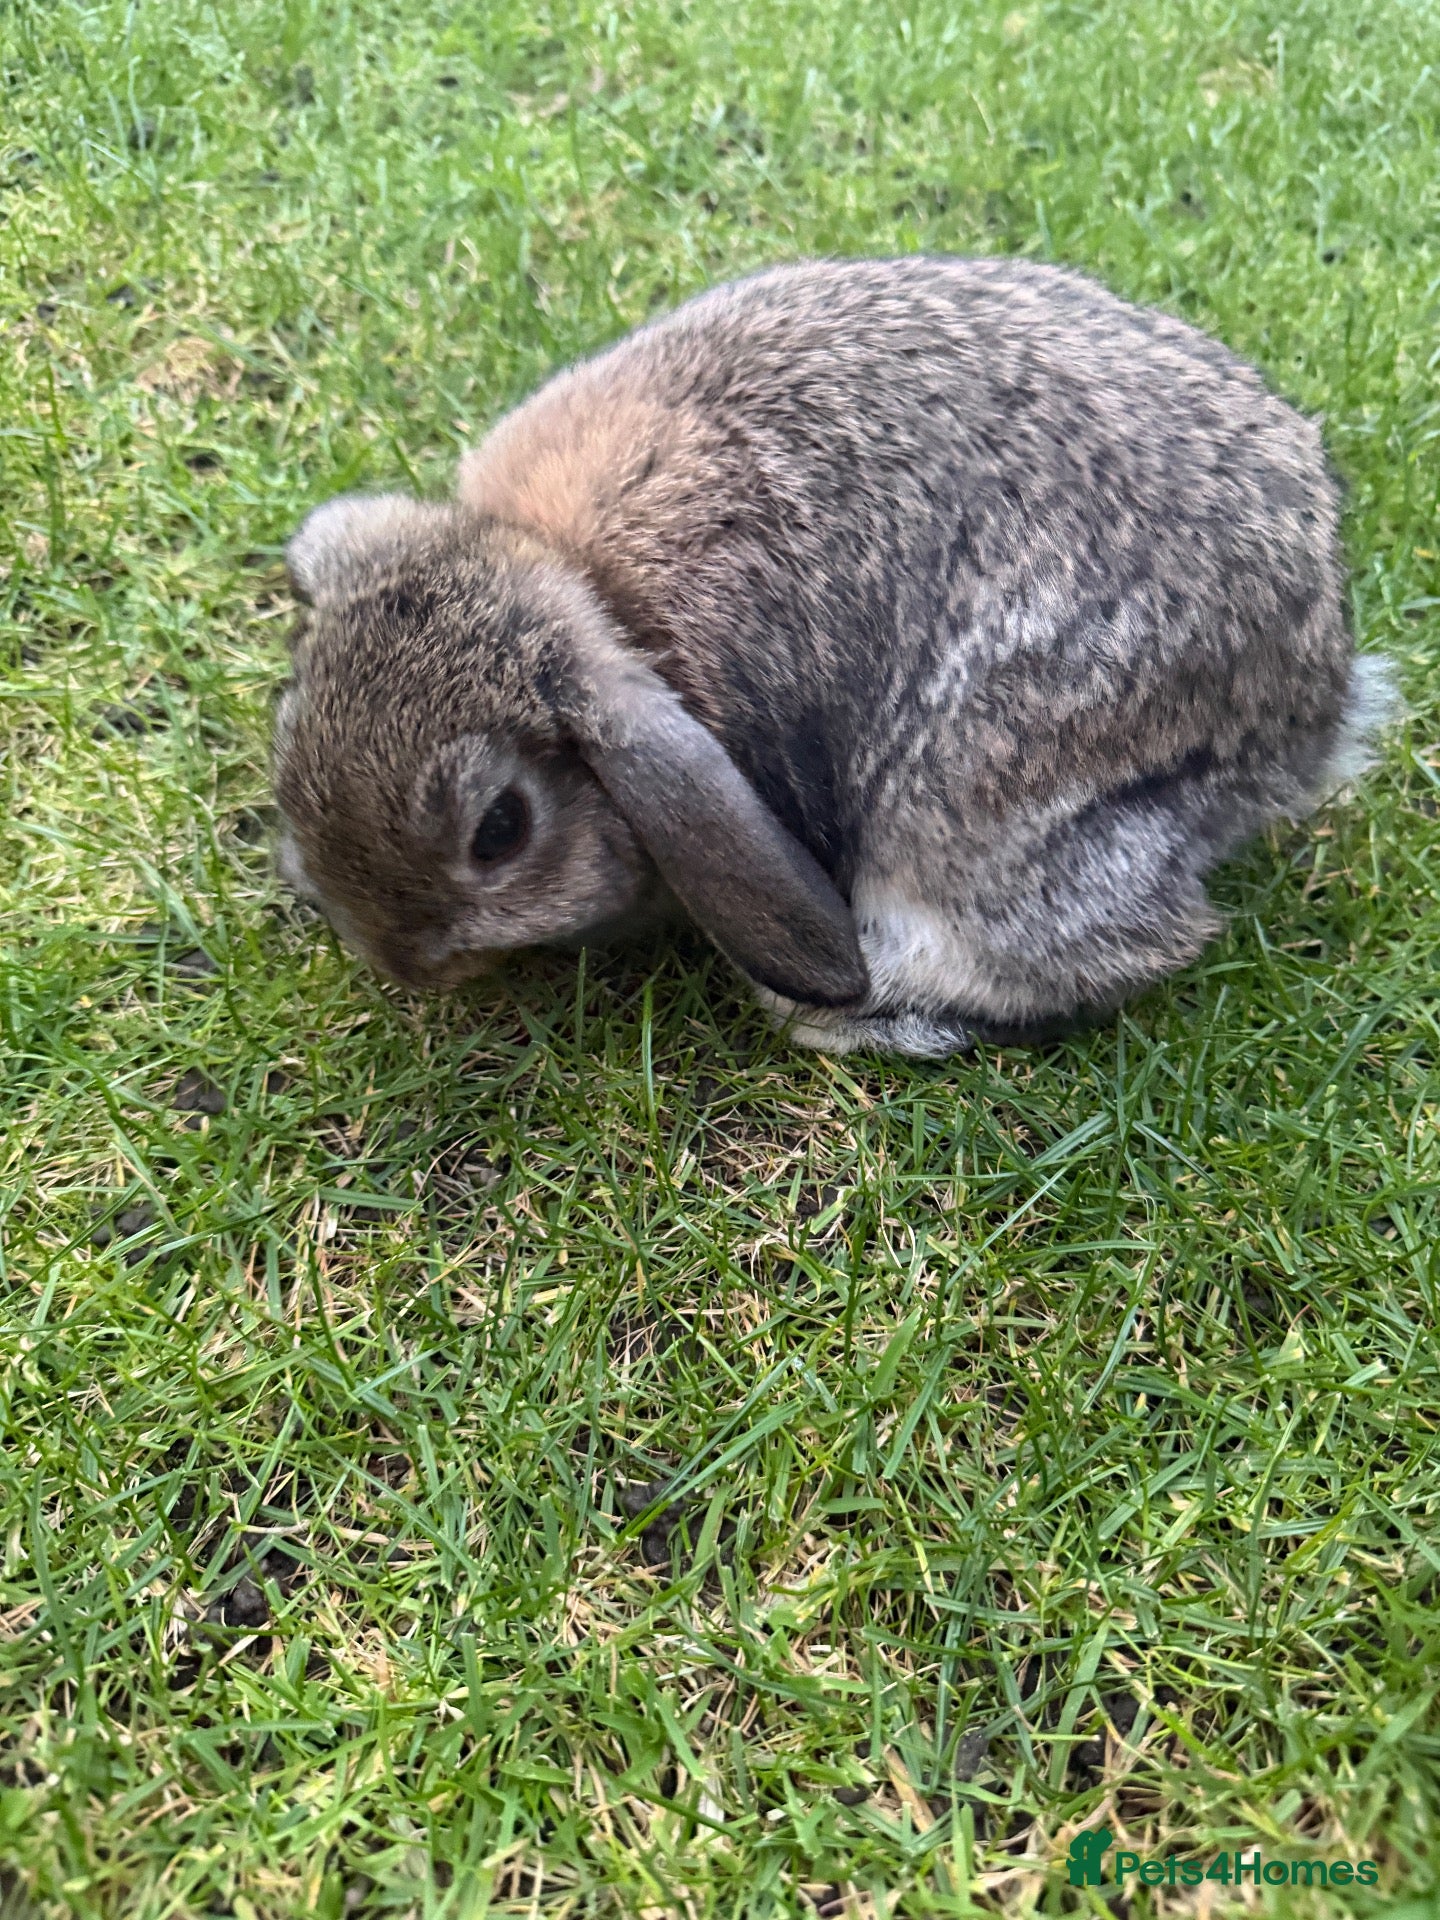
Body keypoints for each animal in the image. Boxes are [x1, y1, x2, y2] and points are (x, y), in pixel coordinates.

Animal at [272, 254, 1395, 1057]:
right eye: (289, 729)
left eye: (500, 830)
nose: (402, 962)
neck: (582, 584)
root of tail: (1316, 704)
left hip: (974, 806)